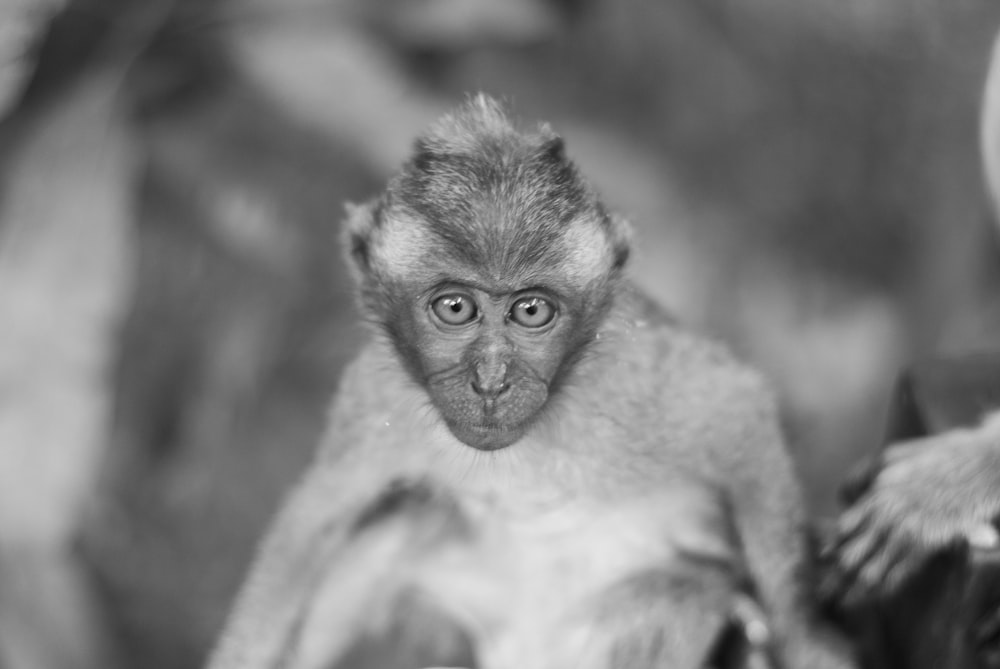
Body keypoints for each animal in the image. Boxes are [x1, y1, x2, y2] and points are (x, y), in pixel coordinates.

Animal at [205, 94, 852, 668]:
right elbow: (320, 511)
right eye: (456, 308)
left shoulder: (633, 381)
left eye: (532, 311)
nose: (491, 382)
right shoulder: (372, 395)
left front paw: (808, 636)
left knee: (680, 597)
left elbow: (740, 408)